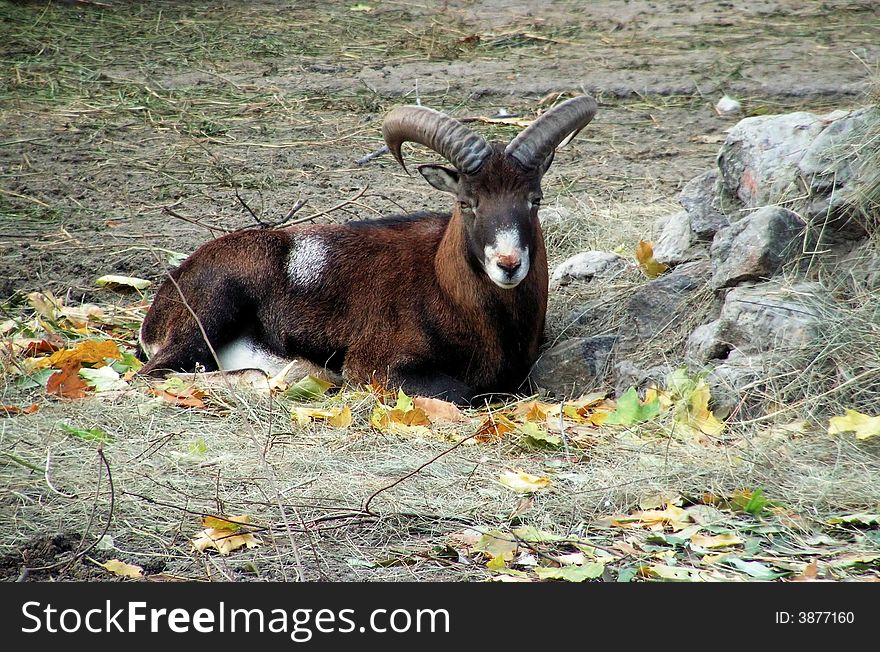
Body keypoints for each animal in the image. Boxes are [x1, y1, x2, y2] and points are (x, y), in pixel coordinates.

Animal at [139, 95, 600, 404]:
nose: (508, 263)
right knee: (154, 375)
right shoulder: (379, 364)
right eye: (467, 202)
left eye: (534, 199)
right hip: (212, 314)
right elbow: (464, 394)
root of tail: (164, 300)